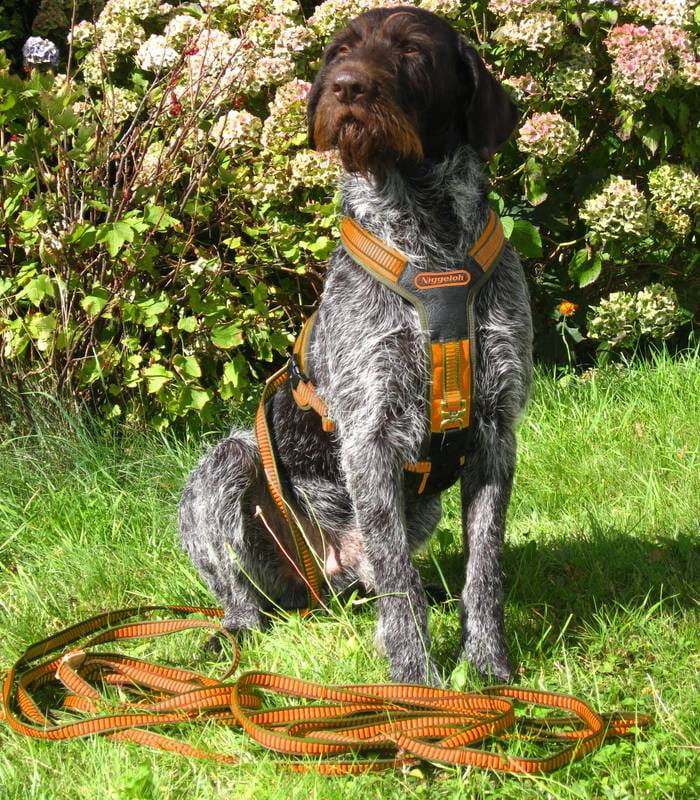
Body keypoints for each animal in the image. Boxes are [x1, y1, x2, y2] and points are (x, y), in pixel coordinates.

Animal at [179, 6, 532, 685]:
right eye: (338, 51)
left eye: (413, 51)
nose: (347, 87)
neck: (430, 242)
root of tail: (325, 584)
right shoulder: (372, 434)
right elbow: (399, 582)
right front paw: (416, 682)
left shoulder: (495, 431)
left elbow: (485, 570)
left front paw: (487, 667)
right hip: (226, 470)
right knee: (247, 596)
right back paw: (234, 630)